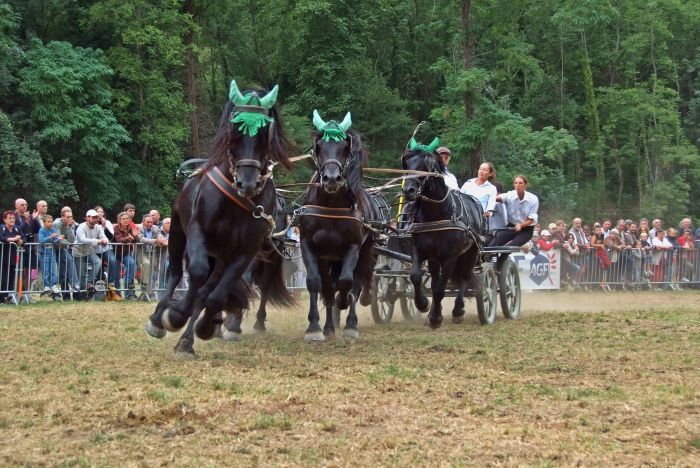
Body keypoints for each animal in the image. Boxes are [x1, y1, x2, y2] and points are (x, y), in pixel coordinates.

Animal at [146, 80, 294, 356]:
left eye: (264, 132)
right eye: (236, 128)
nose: (247, 183)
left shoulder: (246, 251)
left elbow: (215, 294)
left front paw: (205, 326)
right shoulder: (197, 231)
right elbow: (196, 271)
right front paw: (175, 315)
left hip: (228, 256)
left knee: (211, 289)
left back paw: (192, 335)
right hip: (178, 232)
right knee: (176, 272)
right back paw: (160, 318)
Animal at [296, 111, 382, 342]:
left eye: (345, 147)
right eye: (319, 146)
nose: (332, 179)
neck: (330, 206)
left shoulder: (352, 247)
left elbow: (345, 283)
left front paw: (343, 304)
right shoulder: (308, 245)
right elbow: (315, 283)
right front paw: (314, 328)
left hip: (365, 253)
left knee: (356, 284)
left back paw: (350, 323)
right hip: (329, 258)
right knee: (327, 287)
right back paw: (328, 325)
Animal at [402, 139, 484, 330]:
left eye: (425, 165)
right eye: (407, 164)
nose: (408, 191)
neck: (436, 214)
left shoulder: (450, 257)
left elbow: (440, 290)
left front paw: (436, 318)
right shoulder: (418, 250)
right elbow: (416, 277)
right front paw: (423, 304)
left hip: (471, 253)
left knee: (464, 278)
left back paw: (458, 310)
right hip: (434, 258)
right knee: (434, 280)